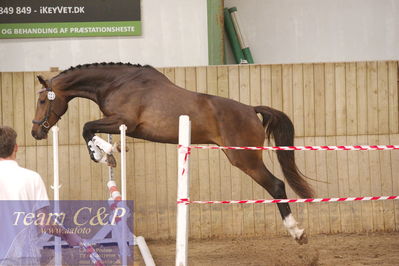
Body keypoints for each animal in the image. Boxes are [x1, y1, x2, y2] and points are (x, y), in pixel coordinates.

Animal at [32, 61, 316, 243]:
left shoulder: (124, 122)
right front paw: (109, 152)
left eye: (43, 100)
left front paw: (101, 153)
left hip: (244, 158)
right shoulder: (121, 124)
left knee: (276, 185)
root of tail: (250, 109)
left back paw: (297, 233)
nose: (36, 132)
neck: (116, 83)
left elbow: (87, 127)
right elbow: (91, 128)